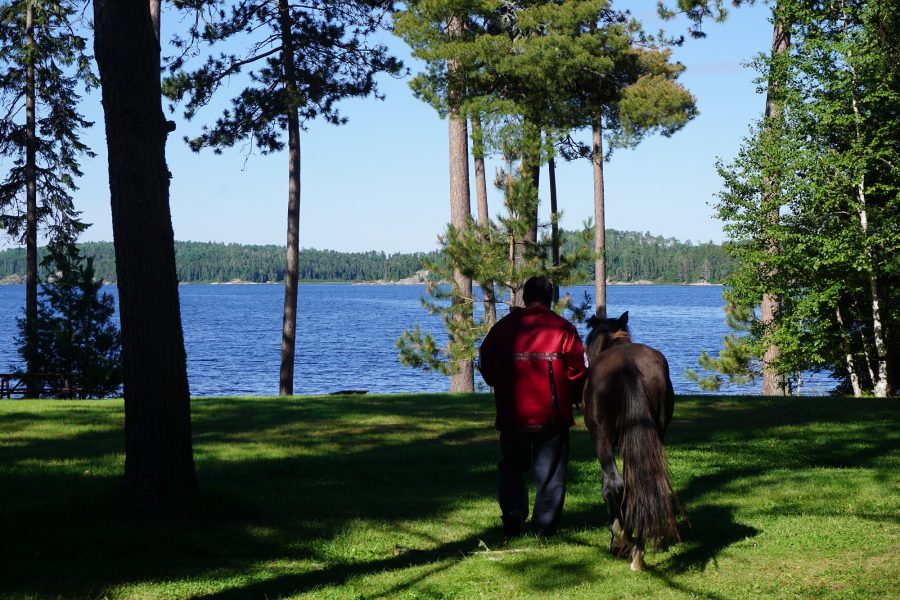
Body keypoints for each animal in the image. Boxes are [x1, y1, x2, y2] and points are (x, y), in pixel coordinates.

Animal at [584, 312, 676, 568]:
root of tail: (628, 365)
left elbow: (608, 485)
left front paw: (618, 535)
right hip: (655, 436)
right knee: (640, 481)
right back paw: (638, 553)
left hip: (602, 439)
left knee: (617, 483)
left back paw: (625, 541)